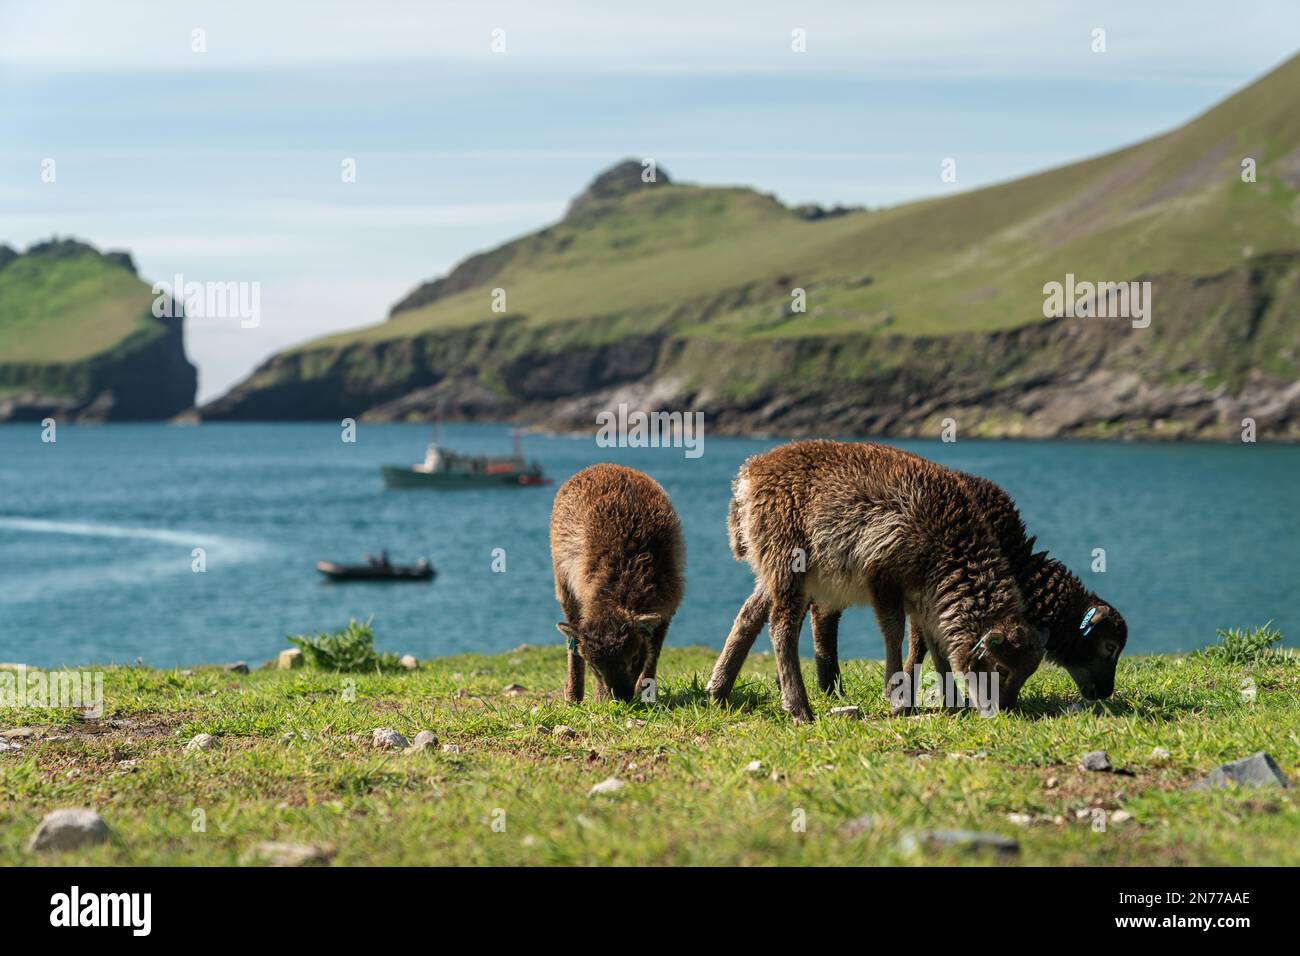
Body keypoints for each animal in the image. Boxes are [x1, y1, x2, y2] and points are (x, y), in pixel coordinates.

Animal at [548, 463, 686, 702]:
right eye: (595, 667)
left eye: (633, 658)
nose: (621, 698)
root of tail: (601, 465)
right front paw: (601, 697)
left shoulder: (667, 606)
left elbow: (654, 652)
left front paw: (647, 693)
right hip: (564, 586)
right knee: (571, 644)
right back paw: (574, 697)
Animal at [707, 437, 1040, 723]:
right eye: (1000, 669)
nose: (1006, 712)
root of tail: (749, 475)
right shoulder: (883, 575)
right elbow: (894, 632)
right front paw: (898, 700)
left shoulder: (926, 598)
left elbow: (935, 644)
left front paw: (952, 703)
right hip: (788, 557)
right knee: (781, 625)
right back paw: (799, 708)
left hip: (772, 564)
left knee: (750, 614)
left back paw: (718, 691)